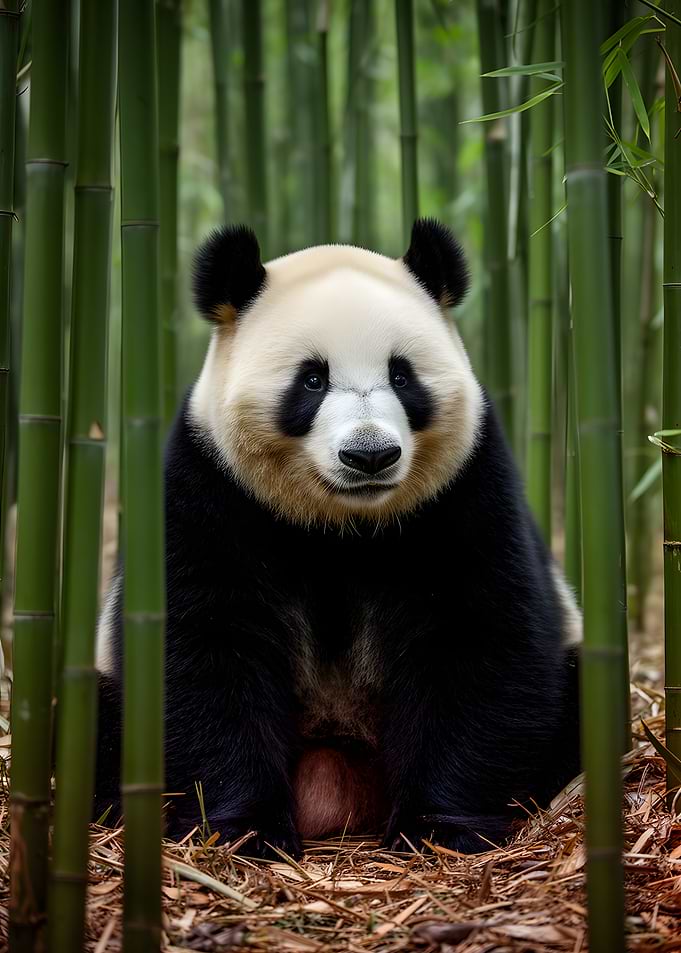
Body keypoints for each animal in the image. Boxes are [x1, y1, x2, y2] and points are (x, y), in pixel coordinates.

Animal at [95, 219, 581, 857]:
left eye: (402, 375)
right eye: (312, 379)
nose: (369, 455)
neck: (342, 524)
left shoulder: (466, 489)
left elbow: (480, 641)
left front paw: (438, 828)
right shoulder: (208, 490)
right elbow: (202, 649)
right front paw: (243, 829)